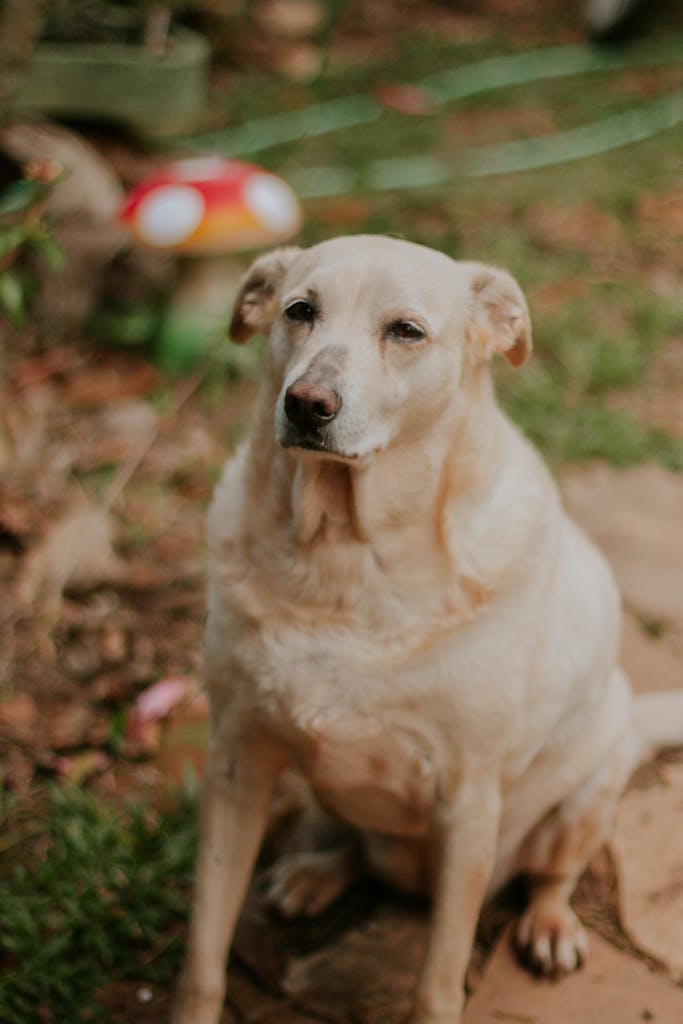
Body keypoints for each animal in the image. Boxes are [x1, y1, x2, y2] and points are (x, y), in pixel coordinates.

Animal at [172, 235, 683, 1024]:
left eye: (405, 331)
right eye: (299, 311)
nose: (306, 403)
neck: (343, 561)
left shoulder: (466, 801)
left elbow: (437, 980)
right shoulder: (236, 762)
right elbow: (204, 944)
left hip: (585, 797)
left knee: (552, 876)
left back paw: (549, 924)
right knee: (359, 849)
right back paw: (315, 875)